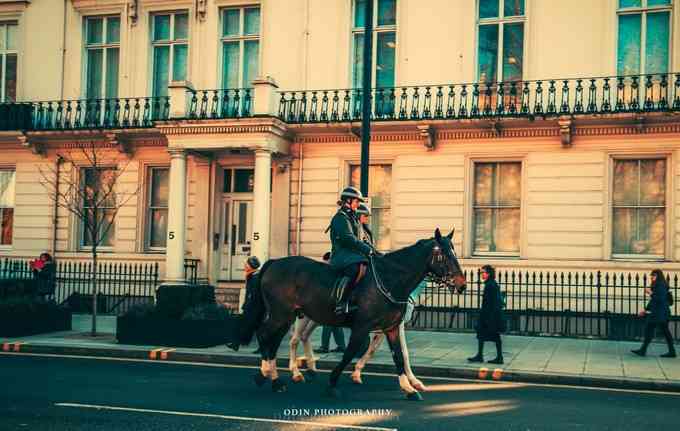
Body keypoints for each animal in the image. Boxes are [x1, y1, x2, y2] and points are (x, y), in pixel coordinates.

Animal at [247, 230, 464, 402]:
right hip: (282, 315)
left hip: (289, 316)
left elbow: (399, 355)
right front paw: (335, 382)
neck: (389, 280)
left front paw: (409, 388)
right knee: (269, 335)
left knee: (279, 340)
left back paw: (281, 375)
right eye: (443, 255)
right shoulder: (362, 327)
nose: (462, 285)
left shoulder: (391, 327)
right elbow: (351, 352)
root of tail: (274, 262)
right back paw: (271, 373)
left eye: (454, 252)